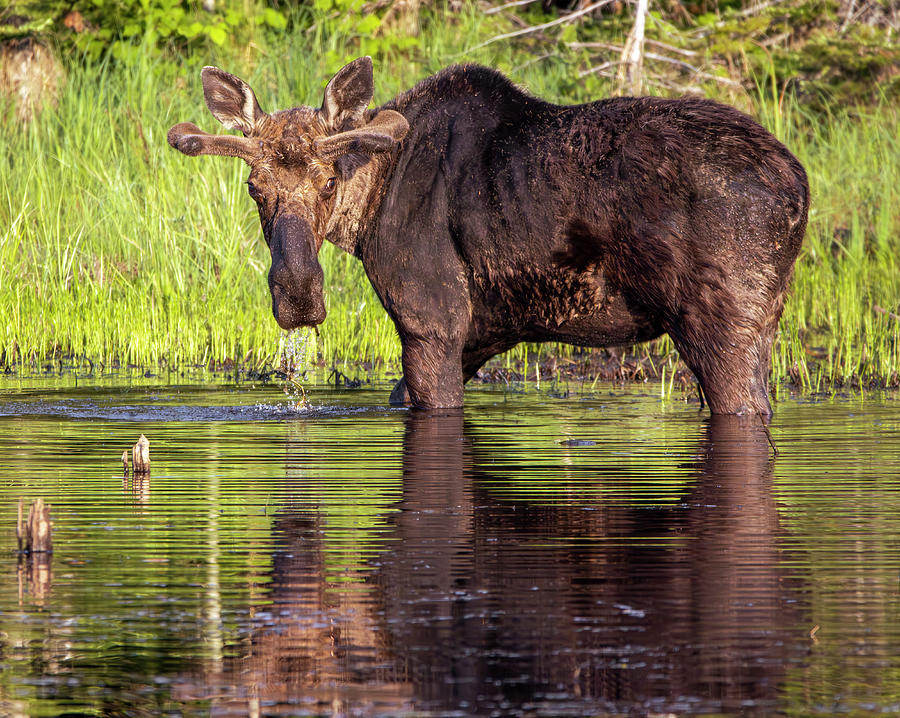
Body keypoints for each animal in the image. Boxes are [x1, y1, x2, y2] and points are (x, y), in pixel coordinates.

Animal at [169, 57, 808, 416]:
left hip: (719, 322)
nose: (298, 293)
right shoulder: (476, 335)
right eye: (254, 187)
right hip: (764, 318)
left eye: (329, 181)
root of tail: (799, 188)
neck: (368, 201)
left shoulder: (430, 318)